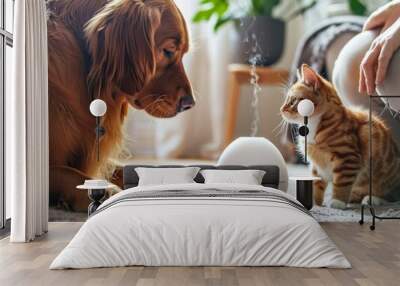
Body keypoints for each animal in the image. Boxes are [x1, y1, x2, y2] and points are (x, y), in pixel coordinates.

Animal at [282, 63, 400, 209]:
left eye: (293, 101)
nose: (281, 110)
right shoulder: (316, 166)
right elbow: (316, 184)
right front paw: (315, 203)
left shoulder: (347, 158)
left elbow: (342, 183)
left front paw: (337, 201)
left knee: (391, 195)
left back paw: (373, 199)